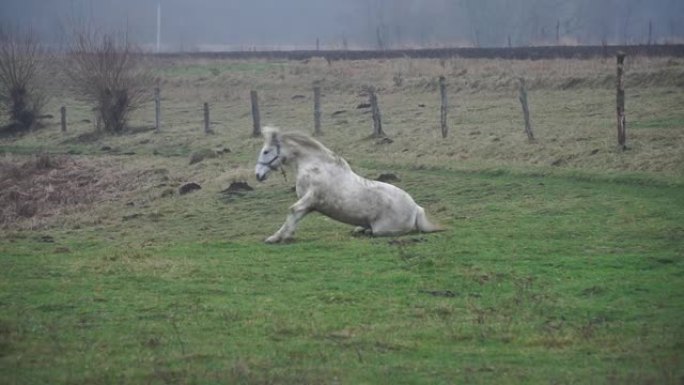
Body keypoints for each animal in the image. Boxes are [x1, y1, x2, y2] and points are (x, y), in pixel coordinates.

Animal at [254, 126, 440, 243]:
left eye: (266, 151)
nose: (258, 175)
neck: (314, 165)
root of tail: (415, 207)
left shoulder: (311, 198)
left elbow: (292, 210)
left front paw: (277, 238)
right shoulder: (309, 204)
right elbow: (295, 215)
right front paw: (283, 236)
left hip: (385, 229)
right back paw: (360, 229)